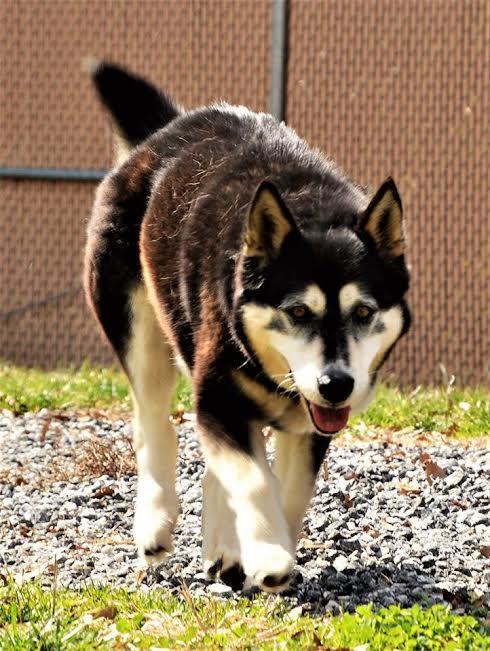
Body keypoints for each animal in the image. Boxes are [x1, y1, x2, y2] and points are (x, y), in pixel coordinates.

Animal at [85, 63, 410, 592]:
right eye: (298, 312)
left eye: (363, 313)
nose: (336, 385)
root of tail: (166, 131)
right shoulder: (218, 396)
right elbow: (256, 479)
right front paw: (270, 556)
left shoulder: (307, 423)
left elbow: (289, 489)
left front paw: (255, 546)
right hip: (139, 328)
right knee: (153, 424)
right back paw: (155, 524)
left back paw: (224, 548)